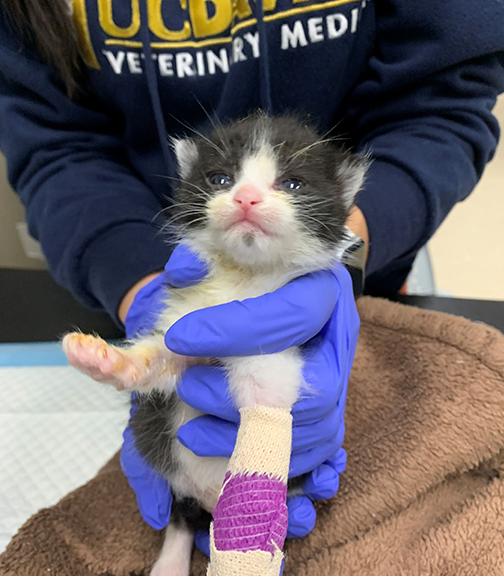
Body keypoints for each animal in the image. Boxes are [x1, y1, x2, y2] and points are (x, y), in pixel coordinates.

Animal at [64, 113, 370, 576]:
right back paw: (171, 560)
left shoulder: (273, 351)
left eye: (293, 183)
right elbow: (160, 362)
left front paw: (247, 532)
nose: (245, 198)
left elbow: (265, 411)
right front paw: (105, 360)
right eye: (220, 178)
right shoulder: (191, 325)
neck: (242, 279)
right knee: (180, 515)